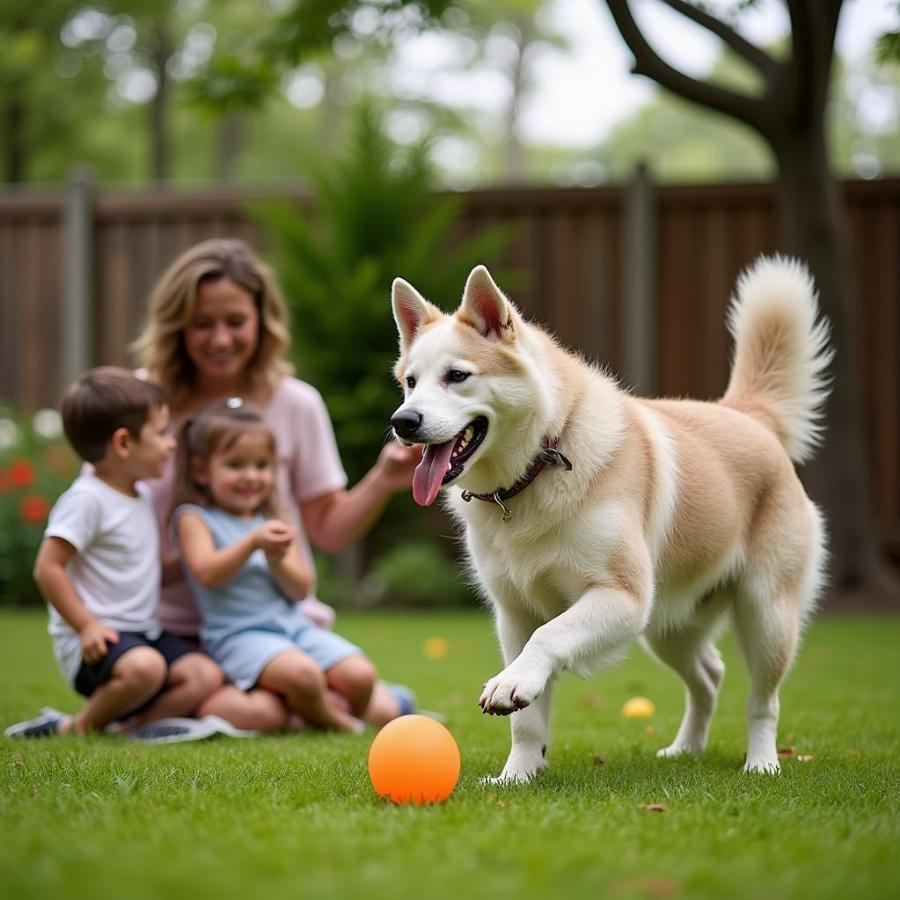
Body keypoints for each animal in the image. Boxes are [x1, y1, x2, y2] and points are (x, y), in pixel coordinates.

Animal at [386, 258, 828, 780]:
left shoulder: (621, 598)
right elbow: (526, 720)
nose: (402, 422)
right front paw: (516, 776)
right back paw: (685, 749)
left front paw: (510, 691)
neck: (537, 465)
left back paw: (761, 763)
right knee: (709, 675)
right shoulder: (514, 615)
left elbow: (549, 637)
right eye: (411, 382)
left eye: (457, 375)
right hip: (668, 628)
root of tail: (748, 416)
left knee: (763, 702)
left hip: (765, 616)